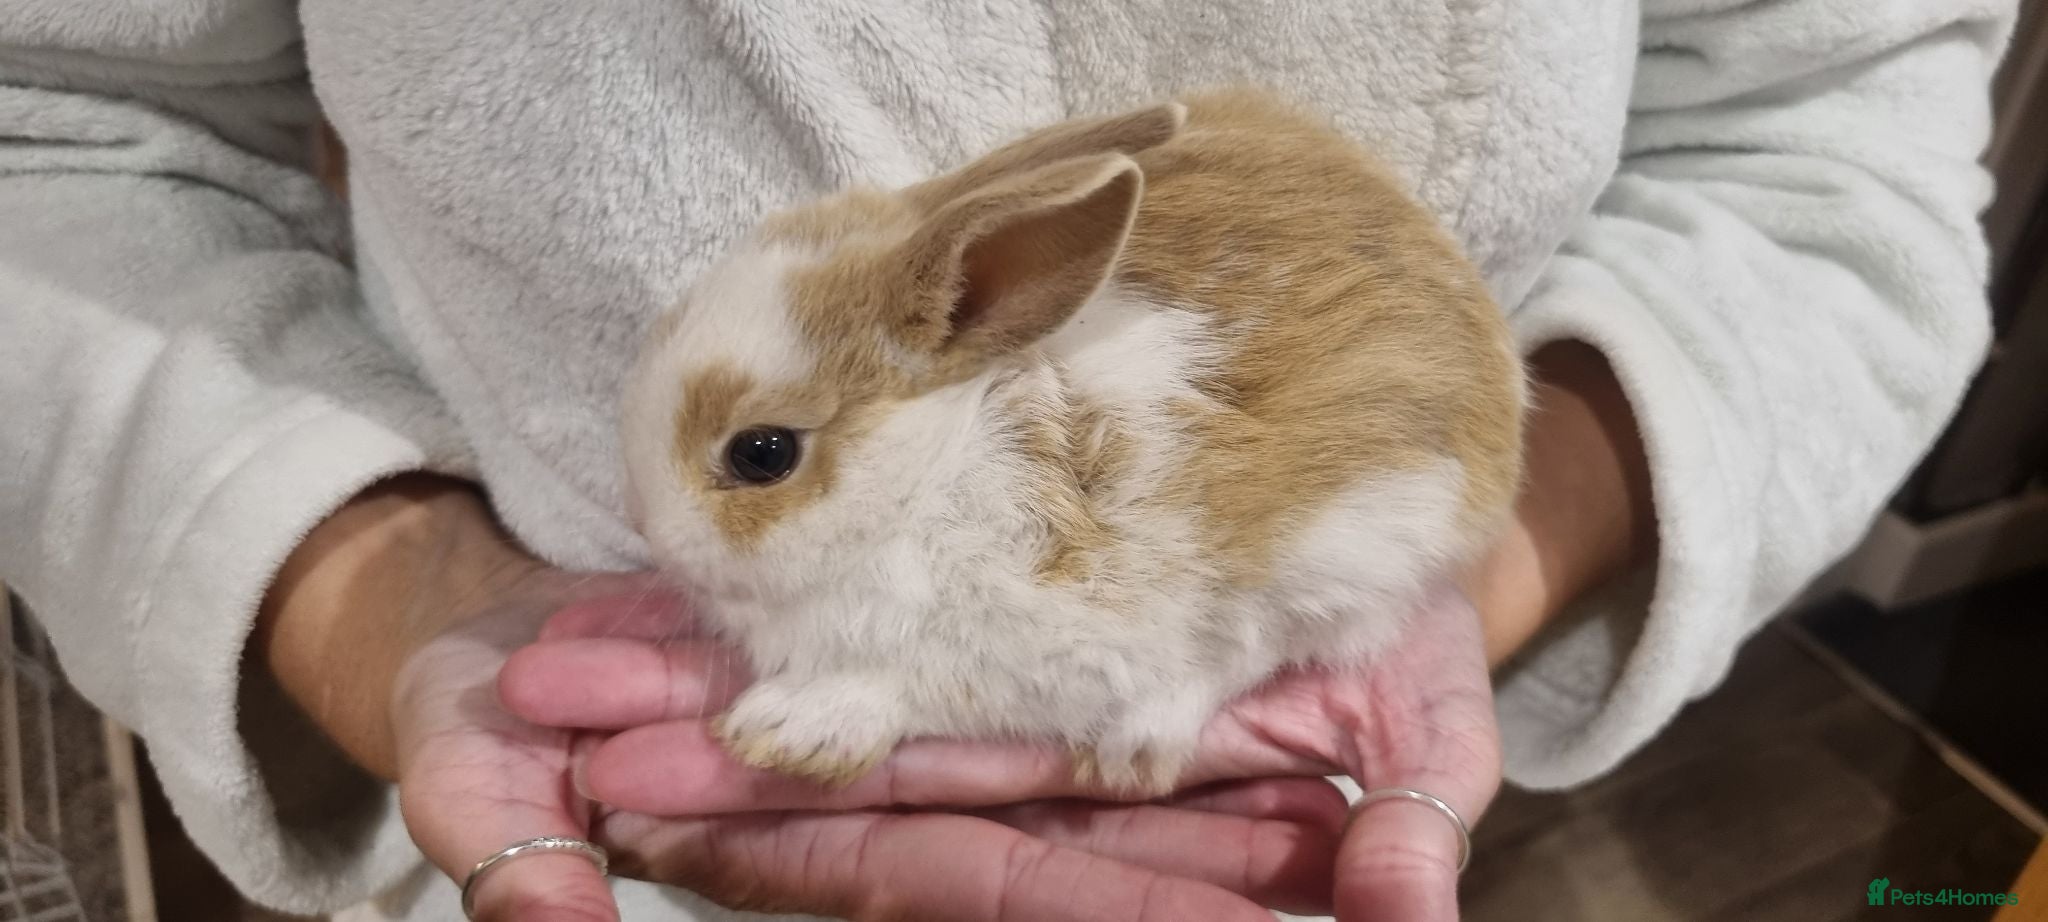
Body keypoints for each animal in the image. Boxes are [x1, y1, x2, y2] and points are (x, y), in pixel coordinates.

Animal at [619, 88, 1525, 795]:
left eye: (762, 454)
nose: (649, 533)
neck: (932, 470)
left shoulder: (1036, 642)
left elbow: (912, 684)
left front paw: (784, 730)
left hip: (1342, 549)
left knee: (1245, 650)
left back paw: (1135, 747)